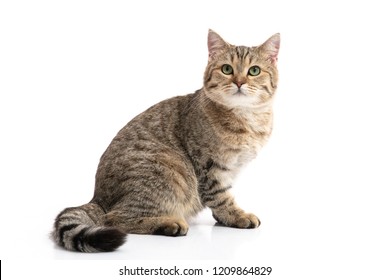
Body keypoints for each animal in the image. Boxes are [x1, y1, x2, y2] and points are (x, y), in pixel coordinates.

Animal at [51, 29, 280, 253]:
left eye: (254, 71)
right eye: (226, 69)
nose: (239, 82)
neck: (247, 118)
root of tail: (97, 198)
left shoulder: (230, 169)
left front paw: (224, 218)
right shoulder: (209, 167)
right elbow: (221, 197)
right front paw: (236, 216)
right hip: (168, 168)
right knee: (115, 218)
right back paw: (168, 223)